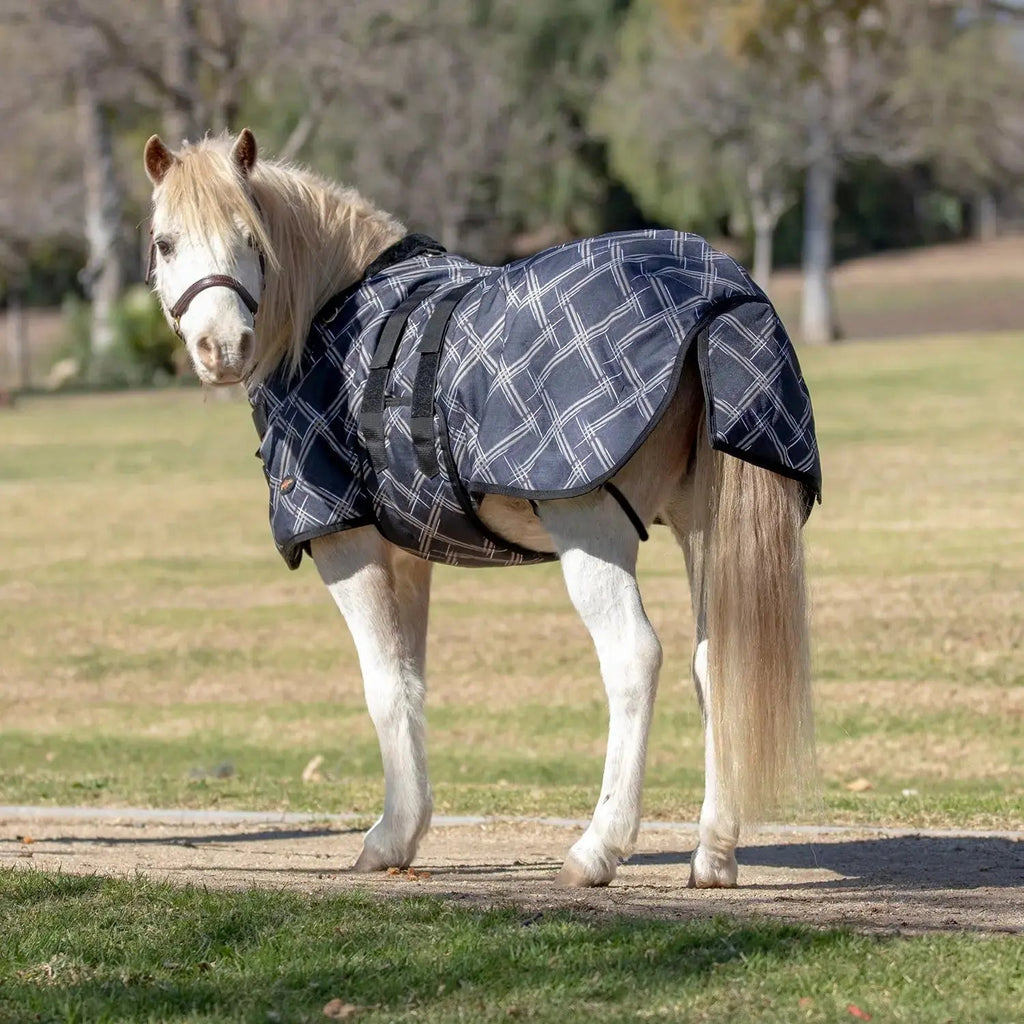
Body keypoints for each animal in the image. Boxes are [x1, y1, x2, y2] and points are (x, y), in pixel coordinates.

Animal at [143, 128, 818, 889]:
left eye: (250, 237)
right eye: (166, 242)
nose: (222, 349)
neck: (331, 312)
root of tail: (719, 294)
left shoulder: (344, 541)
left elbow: (381, 684)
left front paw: (385, 840)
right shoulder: (407, 553)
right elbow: (409, 683)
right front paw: (404, 831)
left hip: (591, 528)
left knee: (634, 658)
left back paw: (598, 847)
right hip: (706, 530)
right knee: (717, 665)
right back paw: (714, 854)